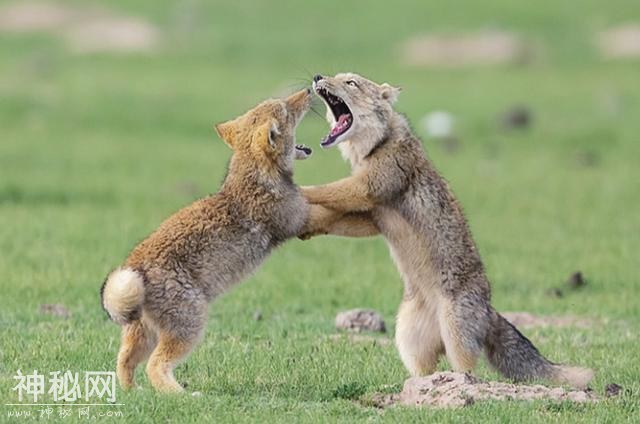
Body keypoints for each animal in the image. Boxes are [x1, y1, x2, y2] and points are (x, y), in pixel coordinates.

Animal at [99, 88, 316, 392]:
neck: (252, 176)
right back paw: (182, 395)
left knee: (124, 362)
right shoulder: (300, 217)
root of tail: (135, 267)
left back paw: (134, 393)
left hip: (144, 333)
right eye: (285, 109)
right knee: (155, 366)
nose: (309, 89)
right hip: (190, 325)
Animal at [300, 73, 596, 388]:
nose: (317, 76)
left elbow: (326, 190)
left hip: (455, 334)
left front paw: (296, 191)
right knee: (424, 372)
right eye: (335, 76)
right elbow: (332, 216)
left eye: (351, 82)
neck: (375, 146)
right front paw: (305, 223)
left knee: (468, 371)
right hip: (408, 338)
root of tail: (489, 311)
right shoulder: (374, 217)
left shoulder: (368, 188)